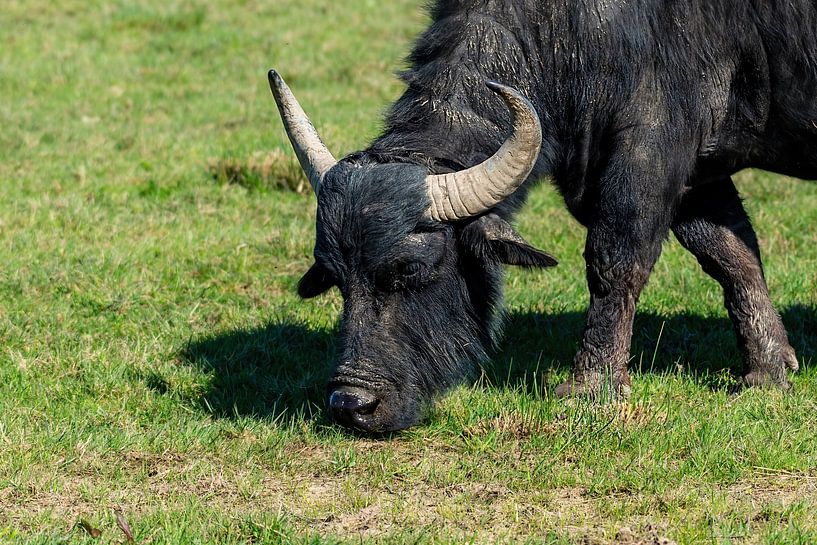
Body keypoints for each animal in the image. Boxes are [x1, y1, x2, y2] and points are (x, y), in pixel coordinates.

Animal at [266, 1, 808, 434]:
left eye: (411, 269)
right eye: (337, 279)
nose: (350, 404)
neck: (568, 31)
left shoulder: (651, 149)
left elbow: (615, 260)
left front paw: (592, 385)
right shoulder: (699, 174)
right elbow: (730, 253)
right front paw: (768, 372)